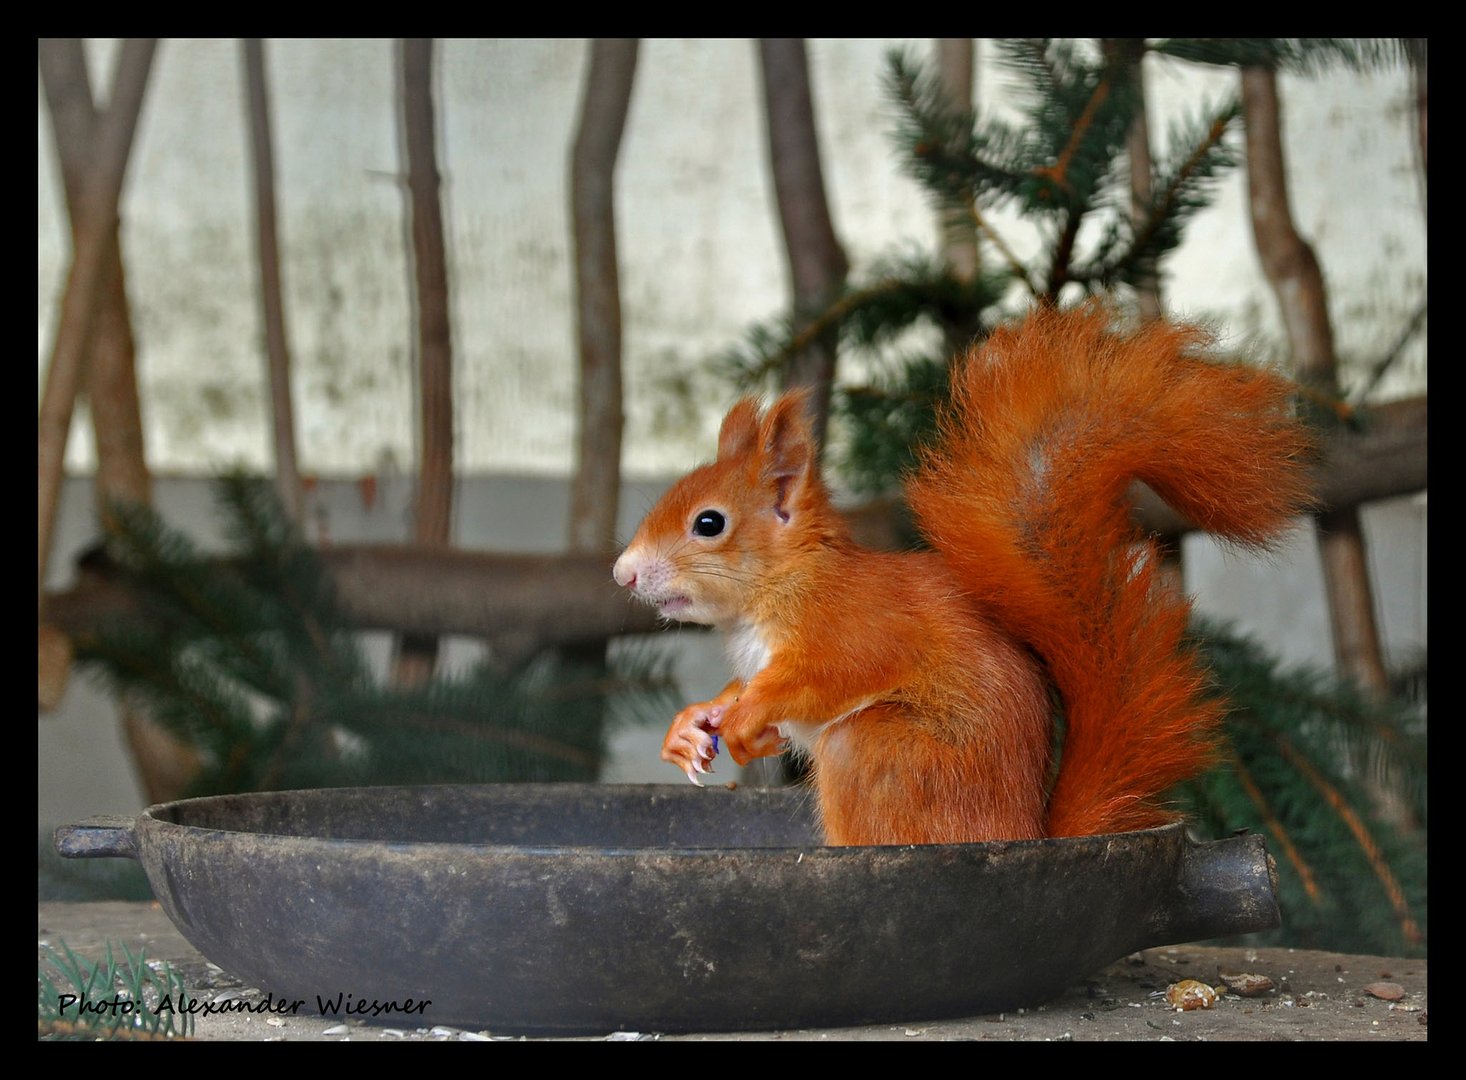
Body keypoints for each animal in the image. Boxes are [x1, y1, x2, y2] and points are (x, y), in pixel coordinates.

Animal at [612, 303, 1313, 844]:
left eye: (709, 523)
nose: (623, 575)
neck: (778, 591)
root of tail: (1020, 832)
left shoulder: (851, 622)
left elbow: (831, 673)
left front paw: (745, 719)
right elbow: (741, 693)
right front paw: (696, 724)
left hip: (879, 754)